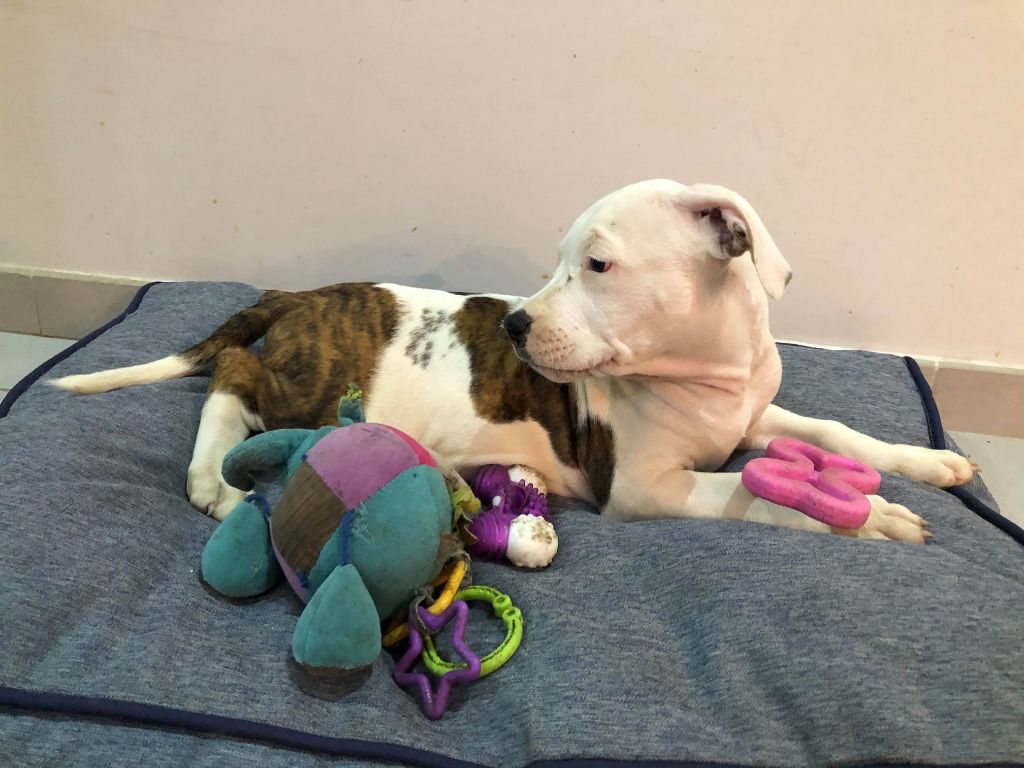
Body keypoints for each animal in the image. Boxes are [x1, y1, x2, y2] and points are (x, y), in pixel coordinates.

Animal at [52, 180, 975, 542]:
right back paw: (210, 478)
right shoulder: (646, 488)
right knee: (230, 380)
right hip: (308, 390)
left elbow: (832, 429)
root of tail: (299, 297)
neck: (708, 376)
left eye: (595, 264)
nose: (518, 325)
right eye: (555, 262)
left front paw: (925, 462)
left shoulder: (756, 415)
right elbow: (750, 493)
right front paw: (872, 517)